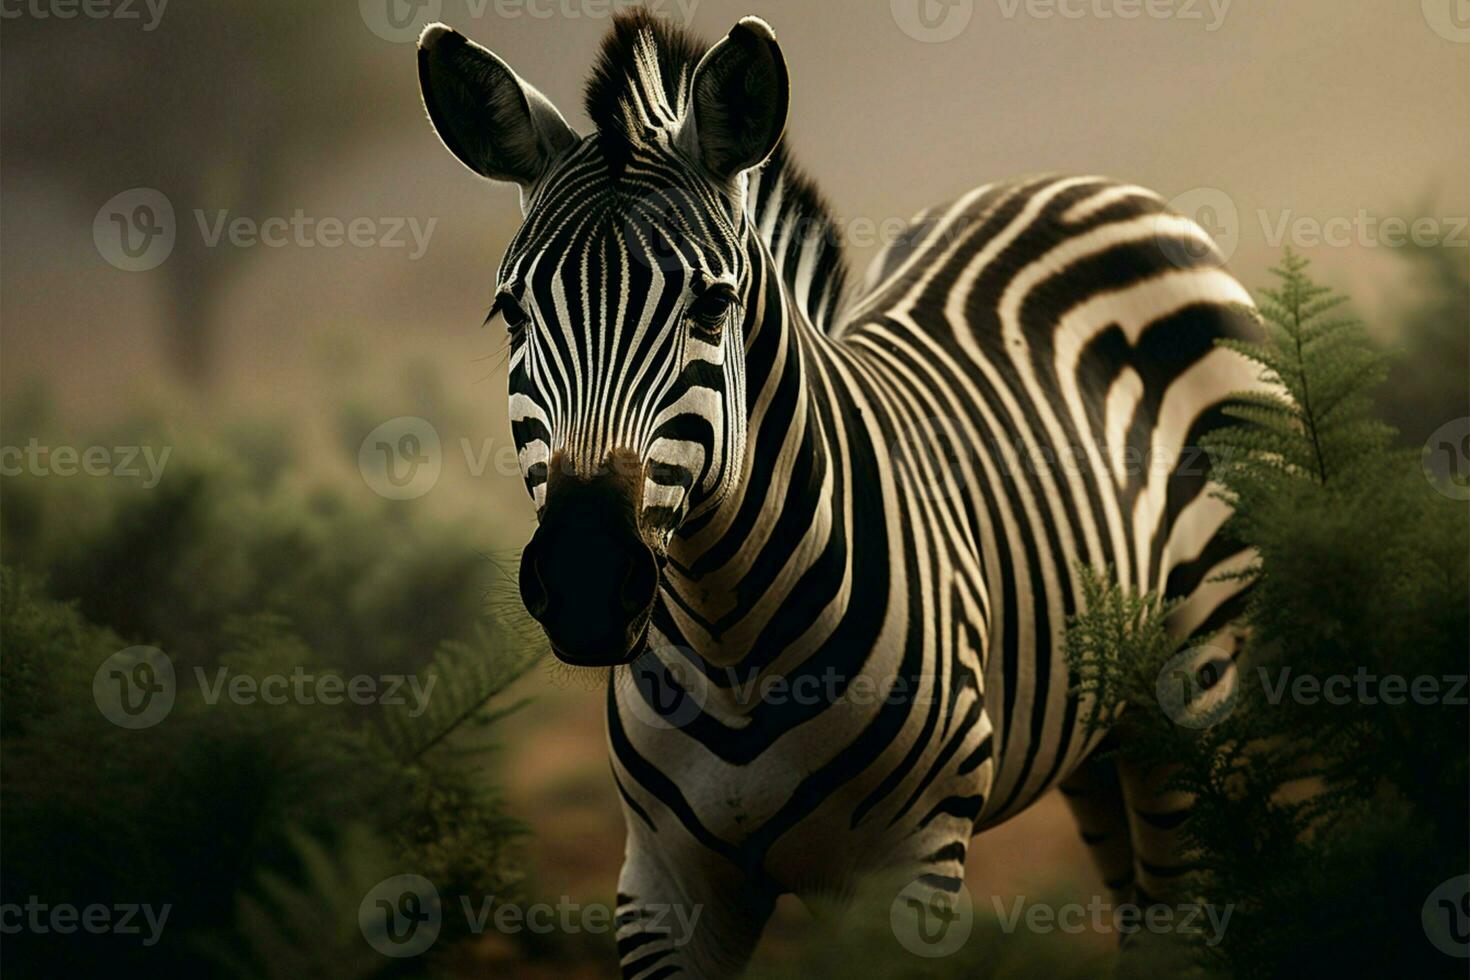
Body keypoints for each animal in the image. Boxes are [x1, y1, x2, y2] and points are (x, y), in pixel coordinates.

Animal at [417, 11, 1264, 975]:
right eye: (513, 313)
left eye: (712, 306)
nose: (588, 582)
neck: (728, 644)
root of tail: (1081, 184)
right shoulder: (665, 880)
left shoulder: (911, 865)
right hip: (1093, 726)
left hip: (1193, 693)